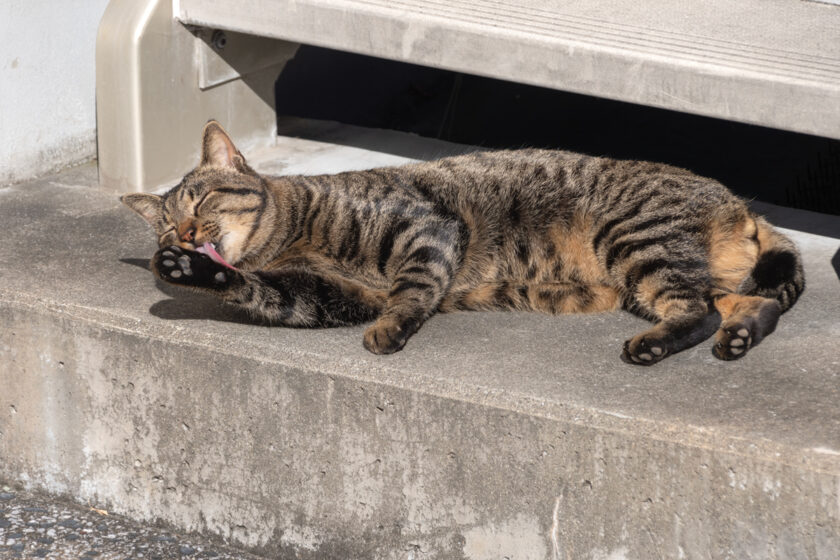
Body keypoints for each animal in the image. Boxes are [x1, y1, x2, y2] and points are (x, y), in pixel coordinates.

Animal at [121, 121, 804, 366]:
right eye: (167, 224)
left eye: (202, 201)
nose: (185, 234)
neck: (294, 233)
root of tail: (735, 200)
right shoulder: (327, 295)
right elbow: (257, 289)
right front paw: (187, 270)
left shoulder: (424, 227)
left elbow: (412, 286)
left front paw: (394, 328)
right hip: (663, 272)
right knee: (745, 303)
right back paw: (739, 336)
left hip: (637, 241)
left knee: (695, 311)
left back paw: (654, 345)